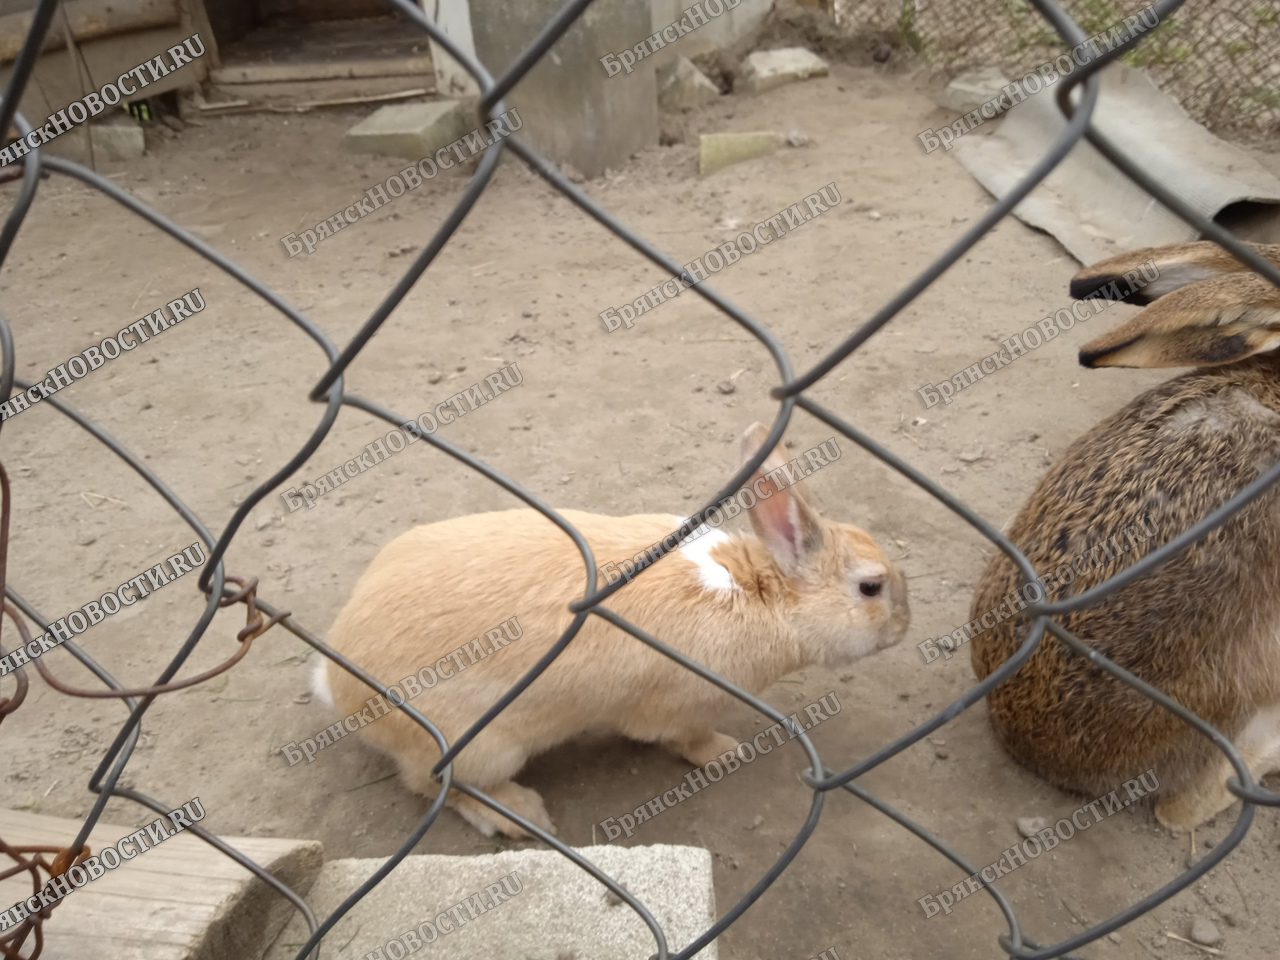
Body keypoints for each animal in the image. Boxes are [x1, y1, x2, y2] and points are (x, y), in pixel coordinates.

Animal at [313, 424, 911, 839]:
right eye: (871, 588)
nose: (906, 626)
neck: (758, 591)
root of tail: (341, 688)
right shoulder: (684, 707)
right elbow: (686, 740)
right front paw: (727, 751)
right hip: (480, 747)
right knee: (435, 784)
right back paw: (521, 815)